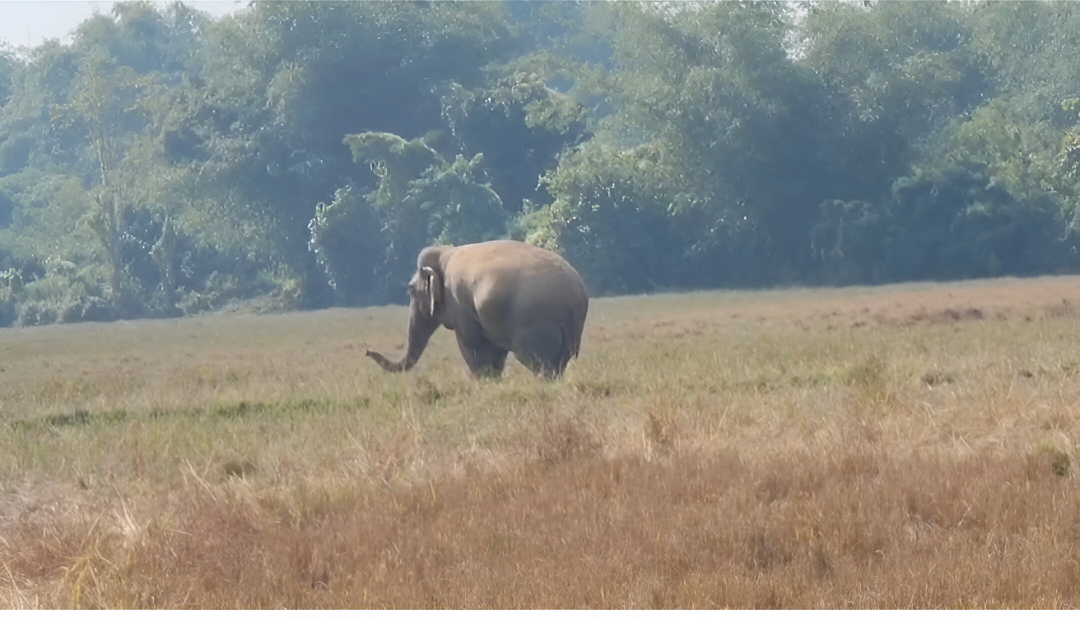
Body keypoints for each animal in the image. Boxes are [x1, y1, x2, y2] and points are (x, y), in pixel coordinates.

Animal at [366, 240, 588, 379]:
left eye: (411, 290)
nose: (367, 351)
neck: (445, 253)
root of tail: (576, 296)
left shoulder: (461, 308)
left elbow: (472, 347)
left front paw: (483, 381)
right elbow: (495, 352)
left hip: (537, 322)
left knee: (539, 363)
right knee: (559, 364)